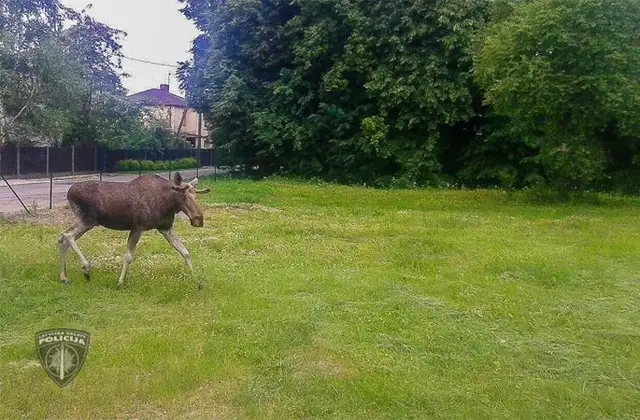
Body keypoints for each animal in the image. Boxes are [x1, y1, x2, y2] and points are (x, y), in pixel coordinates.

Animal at [58, 172, 211, 289]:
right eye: (184, 196)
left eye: (196, 196)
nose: (198, 219)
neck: (168, 203)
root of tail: (68, 193)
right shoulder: (138, 227)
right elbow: (128, 256)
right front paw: (120, 282)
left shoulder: (165, 227)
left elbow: (185, 252)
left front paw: (196, 281)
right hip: (87, 221)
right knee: (67, 235)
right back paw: (86, 268)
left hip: (86, 222)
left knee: (62, 239)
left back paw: (64, 277)